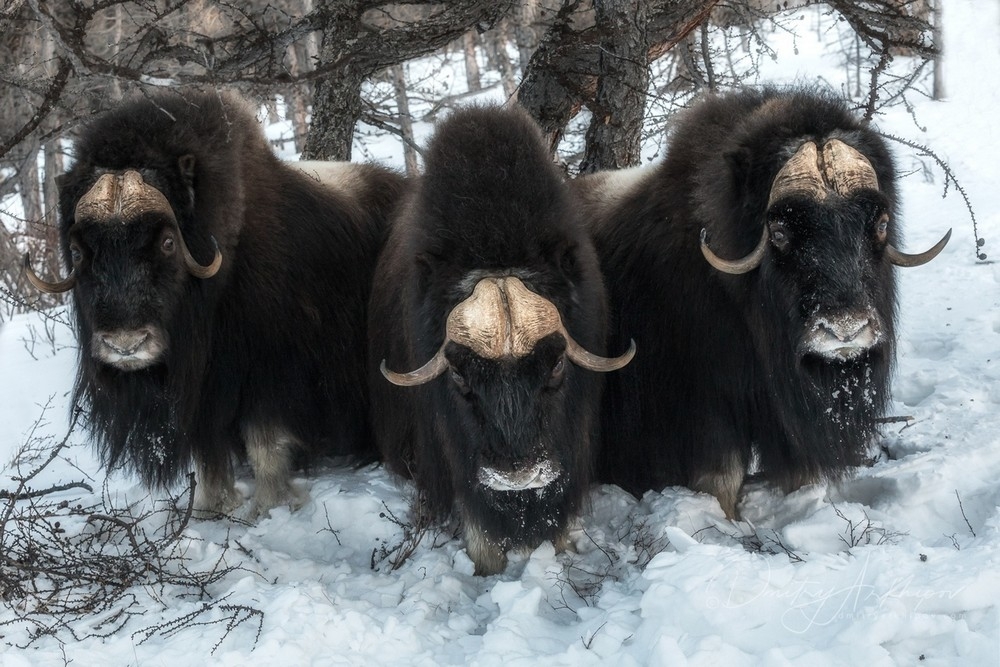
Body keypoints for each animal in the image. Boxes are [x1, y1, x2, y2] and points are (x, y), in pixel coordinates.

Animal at [23, 89, 405, 517]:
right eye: (77, 251)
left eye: (167, 242)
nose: (125, 345)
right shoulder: (199, 390)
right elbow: (207, 449)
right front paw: (212, 509)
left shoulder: (267, 372)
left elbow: (265, 441)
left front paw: (270, 508)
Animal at [574, 87, 950, 518]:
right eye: (781, 232)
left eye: (881, 224)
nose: (846, 329)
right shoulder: (704, 404)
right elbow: (721, 476)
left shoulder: (787, 415)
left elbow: (799, 470)